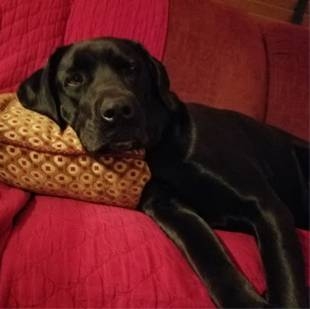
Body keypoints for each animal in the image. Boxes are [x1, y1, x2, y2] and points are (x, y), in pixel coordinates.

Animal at [18, 37, 308, 306]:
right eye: (74, 80)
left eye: (130, 68)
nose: (117, 111)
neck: (161, 149)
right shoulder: (170, 209)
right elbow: (209, 255)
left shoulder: (267, 206)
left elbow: (286, 278)